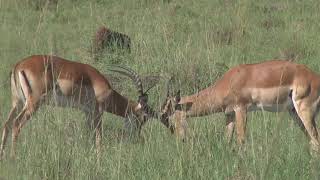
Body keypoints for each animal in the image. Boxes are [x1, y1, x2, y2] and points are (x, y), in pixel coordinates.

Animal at [0, 54, 158, 159]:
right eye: (143, 118)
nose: (136, 137)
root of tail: (18, 65)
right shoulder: (98, 111)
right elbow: (99, 136)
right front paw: (99, 158)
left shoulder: (87, 112)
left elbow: (90, 134)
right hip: (33, 103)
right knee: (16, 123)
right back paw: (13, 158)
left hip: (17, 103)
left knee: (7, 124)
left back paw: (2, 156)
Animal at [161, 59, 320, 151]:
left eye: (171, 116)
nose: (180, 140)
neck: (229, 81)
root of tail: (315, 77)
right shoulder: (229, 113)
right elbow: (227, 139)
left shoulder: (241, 109)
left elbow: (241, 139)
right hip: (293, 112)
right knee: (312, 142)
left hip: (304, 111)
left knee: (316, 140)